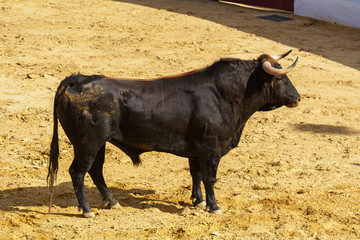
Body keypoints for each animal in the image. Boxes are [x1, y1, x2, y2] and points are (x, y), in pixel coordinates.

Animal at [47, 51, 300, 218]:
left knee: (96, 171)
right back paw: (87, 210)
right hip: (88, 143)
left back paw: (112, 202)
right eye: (280, 78)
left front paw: (198, 201)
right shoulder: (211, 148)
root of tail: (75, 80)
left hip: (99, 144)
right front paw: (213, 206)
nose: (298, 98)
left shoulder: (197, 150)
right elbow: (209, 178)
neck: (224, 95)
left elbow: (195, 174)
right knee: (78, 172)